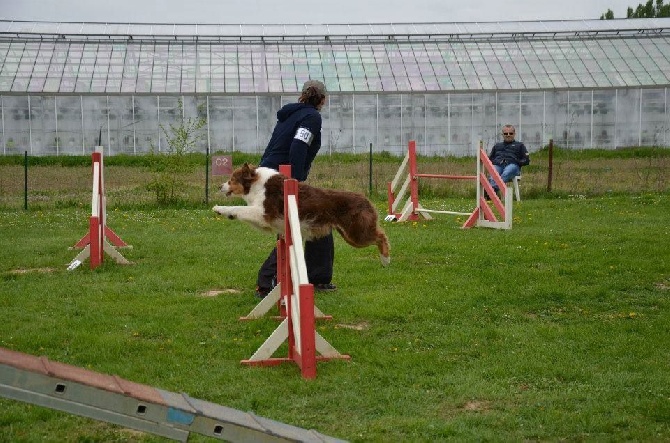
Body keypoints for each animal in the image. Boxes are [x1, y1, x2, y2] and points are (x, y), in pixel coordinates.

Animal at [213, 164, 392, 266]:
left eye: (232, 179)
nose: (219, 186)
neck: (258, 185)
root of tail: (366, 199)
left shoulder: (263, 213)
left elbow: (239, 208)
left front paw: (219, 208)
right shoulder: (266, 222)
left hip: (356, 233)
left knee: (381, 236)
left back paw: (385, 259)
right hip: (349, 235)